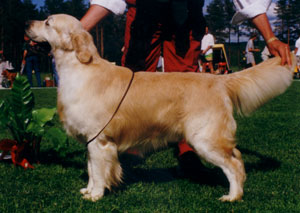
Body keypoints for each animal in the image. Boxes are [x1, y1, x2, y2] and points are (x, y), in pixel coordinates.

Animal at [25, 14, 296, 201]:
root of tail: (219, 79)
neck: (80, 68)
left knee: (235, 164)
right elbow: (92, 169)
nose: (27, 25)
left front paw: (97, 195)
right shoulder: (92, 141)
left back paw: (233, 196)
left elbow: (99, 171)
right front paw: (89, 190)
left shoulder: (100, 140)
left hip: (205, 138)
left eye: (48, 23)